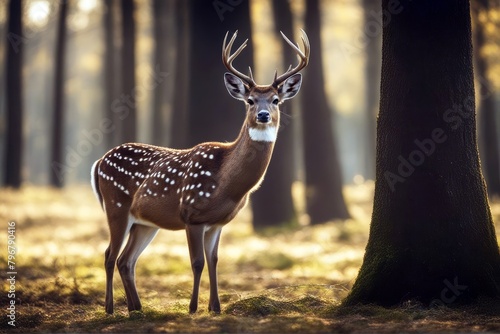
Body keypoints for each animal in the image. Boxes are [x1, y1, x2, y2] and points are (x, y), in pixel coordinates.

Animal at [90, 30, 308, 314]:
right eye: (250, 100)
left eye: (276, 100)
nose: (262, 115)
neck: (226, 184)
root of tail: (99, 162)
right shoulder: (191, 215)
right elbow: (197, 262)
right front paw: (193, 307)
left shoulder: (218, 222)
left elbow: (214, 260)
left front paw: (215, 307)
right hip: (116, 206)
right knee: (109, 255)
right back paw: (110, 308)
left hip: (144, 223)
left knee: (126, 260)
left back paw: (136, 307)